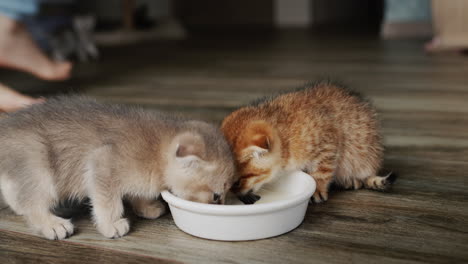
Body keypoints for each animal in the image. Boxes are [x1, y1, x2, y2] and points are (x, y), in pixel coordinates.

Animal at [0, 96, 236, 239]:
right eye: (216, 196)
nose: (223, 206)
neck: (155, 149)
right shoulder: (101, 161)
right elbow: (107, 202)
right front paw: (110, 225)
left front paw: (145, 206)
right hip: (38, 164)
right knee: (32, 201)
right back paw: (51, 224)